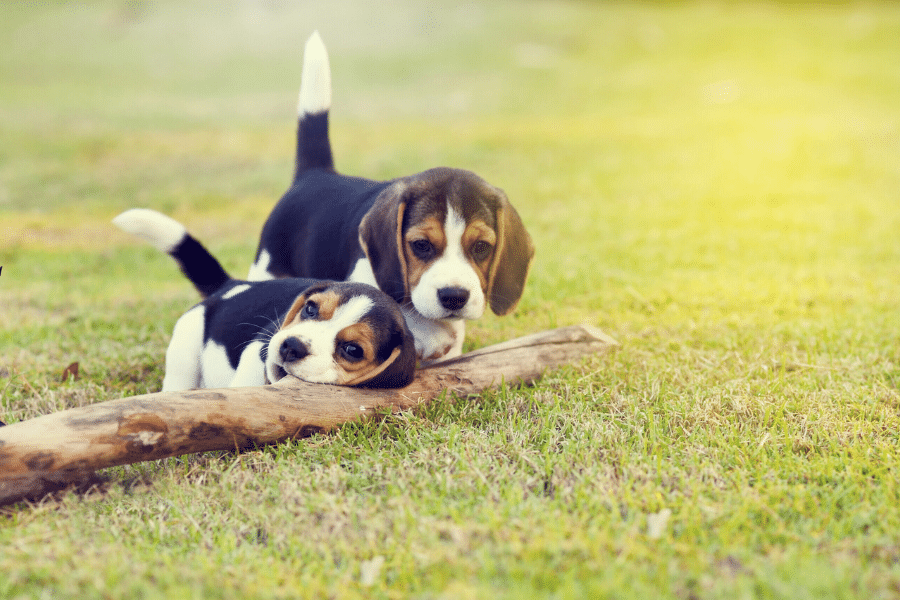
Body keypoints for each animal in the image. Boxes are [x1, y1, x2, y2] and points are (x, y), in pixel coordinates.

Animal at [113, 209, 418, 392]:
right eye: (310, 309)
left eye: (353, 350)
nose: (290, 346)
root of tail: (231, 285)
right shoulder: (260, 346)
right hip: (185, 348)